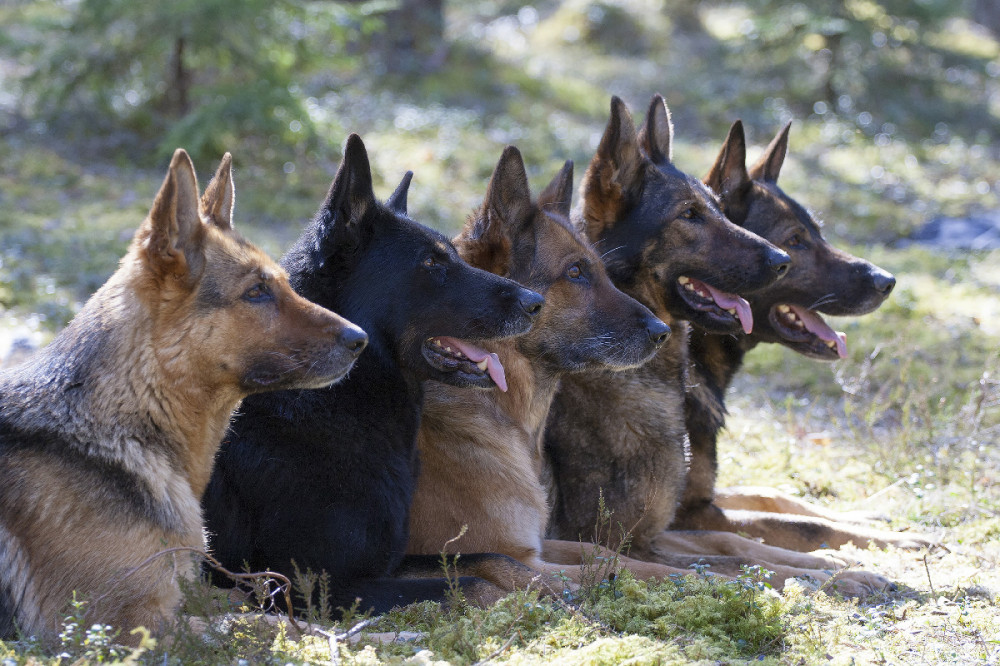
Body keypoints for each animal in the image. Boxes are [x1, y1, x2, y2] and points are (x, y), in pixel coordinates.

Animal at [0, 150, 368, 640]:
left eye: (286, 284)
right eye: (257, 292)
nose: (361, 339)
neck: (125, 423)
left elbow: (249, 606)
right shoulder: (123, 625)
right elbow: (260, 624)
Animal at [202, 135, 548, 616]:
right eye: (431, 264)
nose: (536, 303)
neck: (335, 398)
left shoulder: (389, 562)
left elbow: (490, 560)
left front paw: (559, 595)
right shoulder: (306, 587)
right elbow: (475, 585)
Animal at [408, 147, 704, 588]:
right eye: (575, 272)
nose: (661, 332)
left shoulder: (545, 547)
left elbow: (605, 553)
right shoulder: (522, 559)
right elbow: (633, 566)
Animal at [672, 118, 928, 548]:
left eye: (818, 233)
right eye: (794, 240)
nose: (887, 281)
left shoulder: (708, 498)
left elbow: (775, 495)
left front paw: (870, 518)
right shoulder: (689, 514)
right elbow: (804, 525)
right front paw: (895, 542)